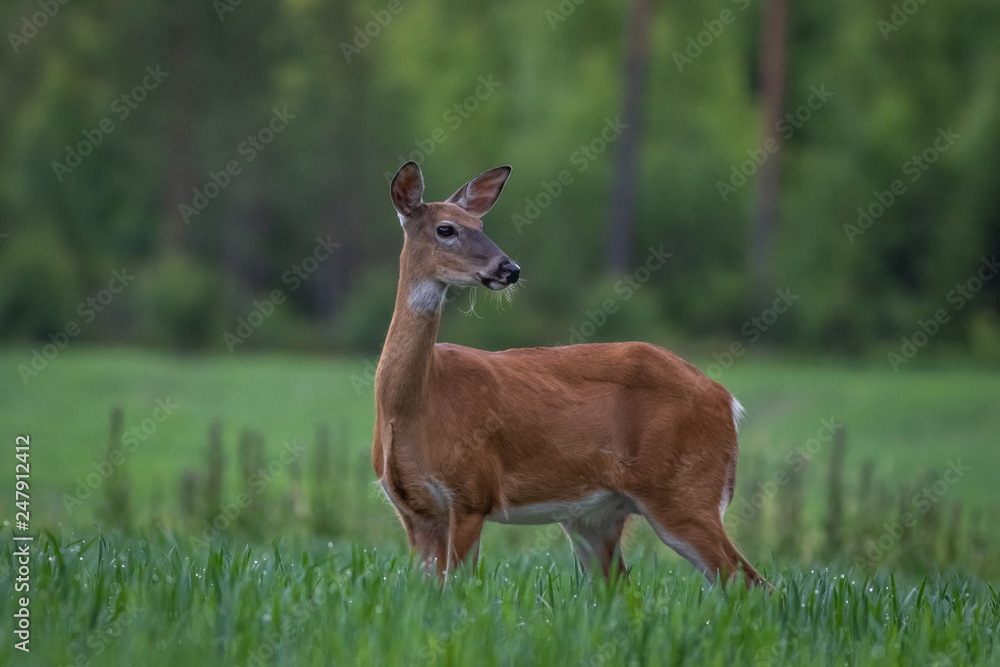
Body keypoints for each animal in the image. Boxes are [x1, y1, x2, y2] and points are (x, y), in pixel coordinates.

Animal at [372, 161, 765, 588]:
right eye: (446, 229)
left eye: (481, 225)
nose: (509, 269)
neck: (415, 405)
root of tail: (727, 400)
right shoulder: (414, 512)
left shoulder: (472, 493)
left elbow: (457, 587)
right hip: (598, 516)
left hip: (685, 491)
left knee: (749, 580)